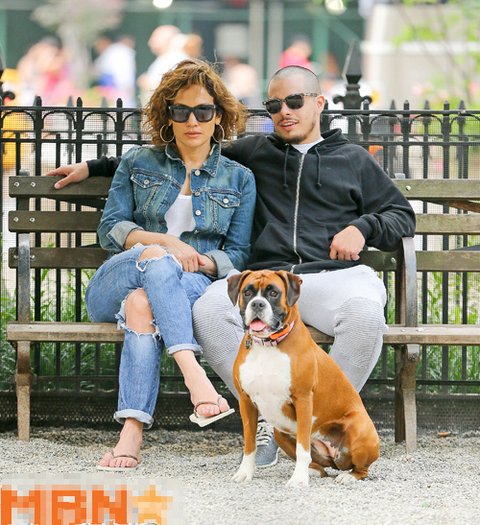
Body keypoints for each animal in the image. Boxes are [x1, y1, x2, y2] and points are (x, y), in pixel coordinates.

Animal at [227, 269, 380, 486]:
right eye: (247, 292)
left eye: (273, 293)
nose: (257, 304)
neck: (267, 345)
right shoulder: (246, 402)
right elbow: (249, 444)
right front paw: (245, 473)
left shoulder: (303, 400)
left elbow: (303, 447)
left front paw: (298, 479)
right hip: (280, 433)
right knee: (322, 467)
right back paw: (313, 471)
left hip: (359, 433)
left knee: (362, 469)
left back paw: (348, 476)